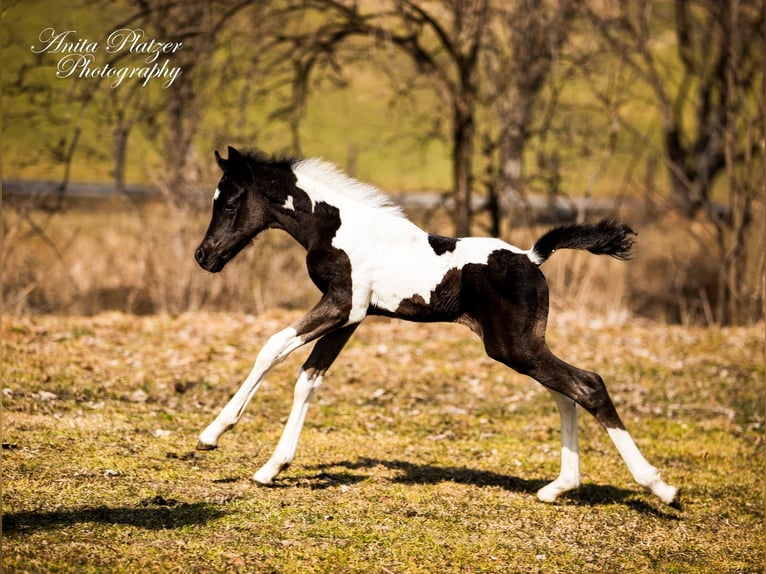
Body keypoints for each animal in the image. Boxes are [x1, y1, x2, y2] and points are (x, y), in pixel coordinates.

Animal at [193, 146, 679, 507]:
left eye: (230, 203)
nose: (204, 256)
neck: (336, 228)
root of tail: (532, 257)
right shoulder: (351, 317)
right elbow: (308, 379)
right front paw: (271, 468)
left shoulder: (341, 305)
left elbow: (272, 346)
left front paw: (213, 433)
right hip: (522, 346)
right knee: (566, 394)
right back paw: (559, 488)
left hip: (512, 346)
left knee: (588, 385)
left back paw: (661, 488)